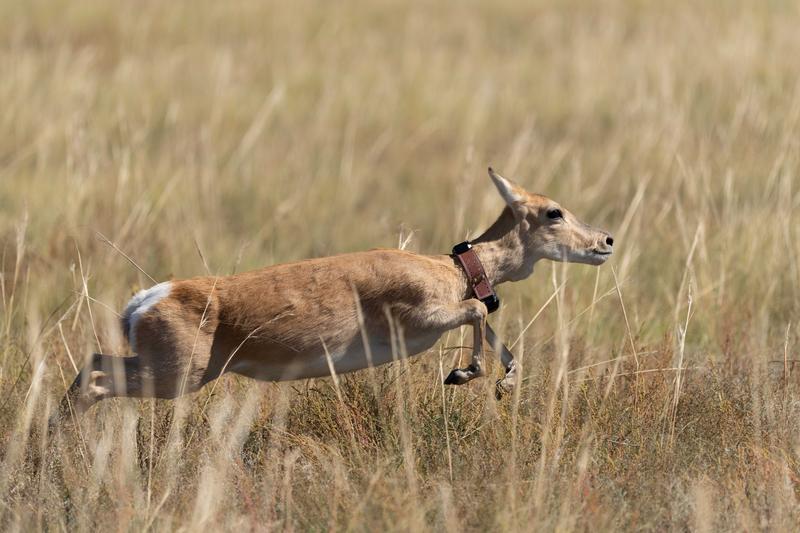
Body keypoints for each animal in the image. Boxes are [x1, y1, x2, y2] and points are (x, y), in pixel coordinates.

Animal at [56, 168, 613, 420]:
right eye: (553, 211)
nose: (605, 241)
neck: (450, 267)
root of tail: (148, 299)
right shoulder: (424, 319)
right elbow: (480, 308)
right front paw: (464, 373)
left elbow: (494, 325)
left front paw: (500, 380)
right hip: (179, 377)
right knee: (97, 379)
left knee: (91, 365)